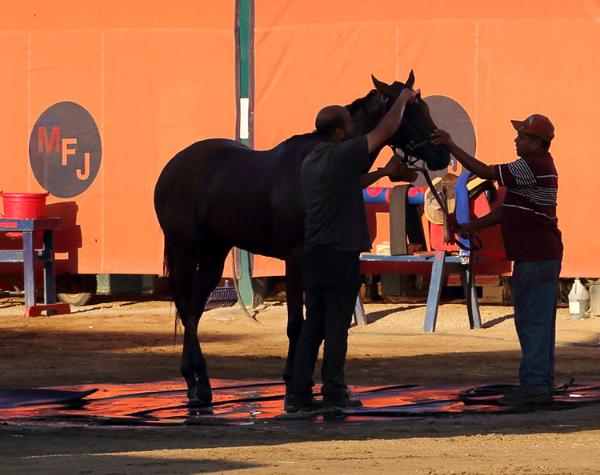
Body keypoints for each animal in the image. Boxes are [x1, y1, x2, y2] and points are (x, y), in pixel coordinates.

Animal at [152, 72, 448, 404]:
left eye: (423, 107)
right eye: (409, 112)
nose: (442, 153)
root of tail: (173, 166)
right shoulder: (295, 258)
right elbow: (297, 323)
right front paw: (293, 385)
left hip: (216, 250)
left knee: (195, 306)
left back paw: (196, 379)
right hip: (186, 248)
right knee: (186, 305)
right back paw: (198, 382)